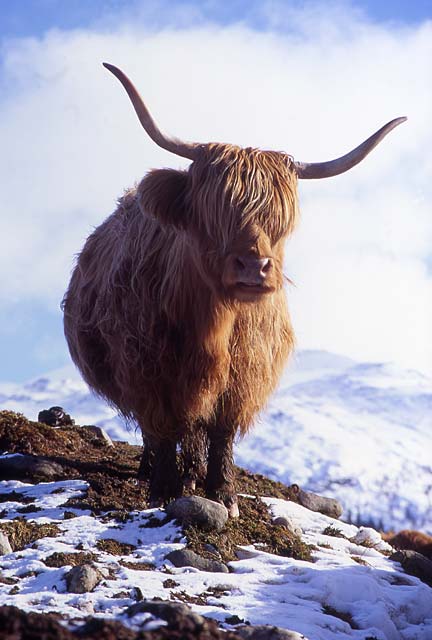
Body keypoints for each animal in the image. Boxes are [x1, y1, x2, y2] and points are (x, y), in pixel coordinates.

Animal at [62, 63, 406, 516]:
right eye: (214, 213)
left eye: (280, 220)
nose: (254, 267)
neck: (215, 324)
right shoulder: (147, 368)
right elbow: (162, 426)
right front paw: (163, 489)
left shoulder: (245, 373)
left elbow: (222, 430)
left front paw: (223, 491)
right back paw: (156, 470)